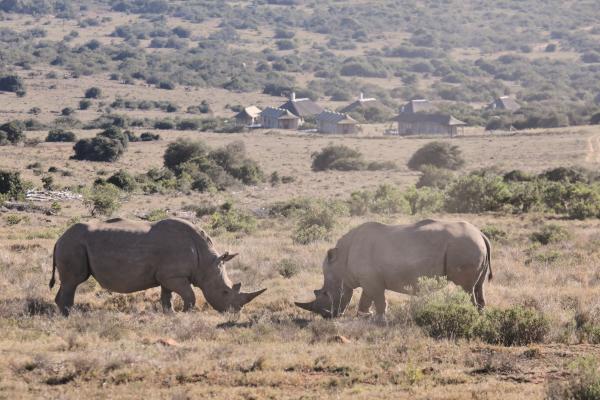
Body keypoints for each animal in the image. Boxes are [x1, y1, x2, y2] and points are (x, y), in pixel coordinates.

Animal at [50, 219, 266, 316]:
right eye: (224, 292)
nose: (235, 313)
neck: (206, 262)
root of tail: (58, 238)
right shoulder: (174, 276)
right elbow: (190, 295)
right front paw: (186, 313)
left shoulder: (167, 276)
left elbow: (166, 296)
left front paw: (170, 314)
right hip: (73, 245)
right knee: (73, 281)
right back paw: (71, 315)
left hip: (72, 244)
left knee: (68, 283)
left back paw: (63, 313)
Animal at [296, 219, 492, 318]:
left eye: (325, 294)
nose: (328, 316)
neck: (341, 263)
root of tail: (481, 234)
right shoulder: (368, 280)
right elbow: (366, 299)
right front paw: (365, 315)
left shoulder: (372, 281)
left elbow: (378, 300)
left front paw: (379, 319)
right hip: (472, 245)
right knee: (478, 286)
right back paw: (480, 315)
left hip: (464, 245)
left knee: (466, 288)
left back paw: (472, 315)